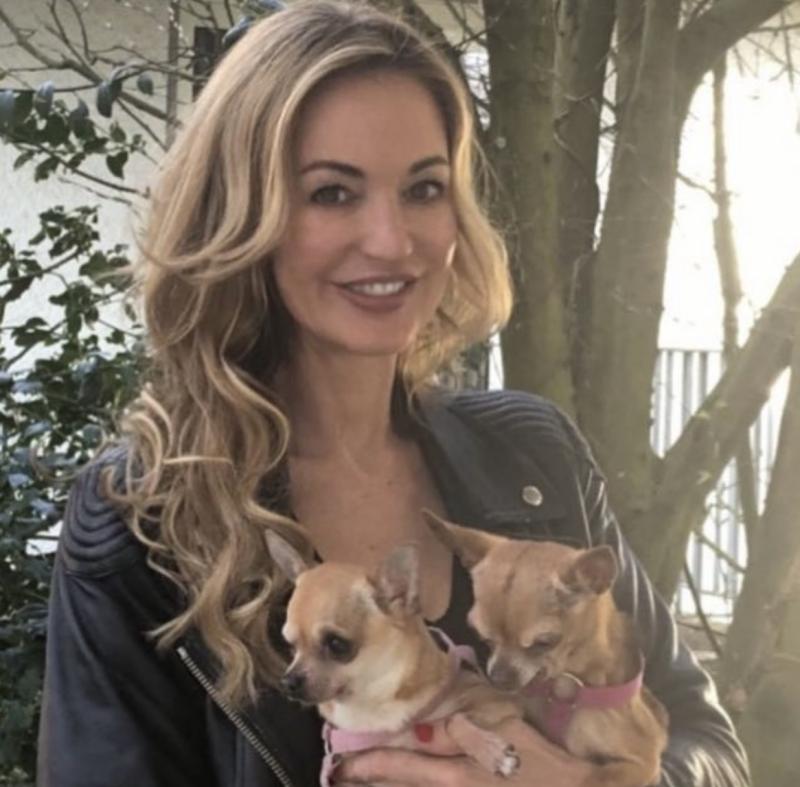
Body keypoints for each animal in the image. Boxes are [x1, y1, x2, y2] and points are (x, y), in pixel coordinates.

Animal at [266, 531, 523, 785]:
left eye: (337, 645)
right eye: (290, 646)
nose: (288, 682)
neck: (373, 702)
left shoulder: (496, 703)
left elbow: (453, 720)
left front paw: (491, 752)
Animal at [423, 510, 669, 787]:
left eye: (544, 642)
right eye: (483, 638)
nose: (498, 678)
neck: (564, 687)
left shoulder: (642, 763)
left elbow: (596, 779)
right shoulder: (510, 707)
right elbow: (454, 720)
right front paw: (490, 751)